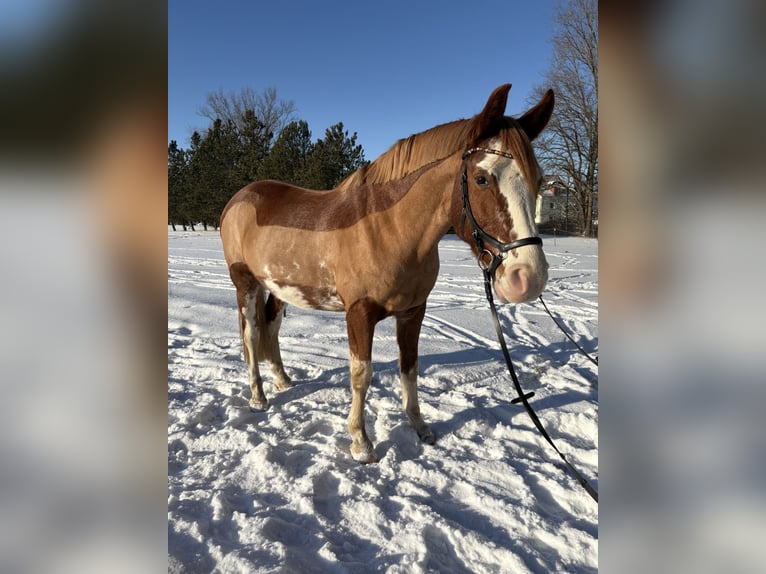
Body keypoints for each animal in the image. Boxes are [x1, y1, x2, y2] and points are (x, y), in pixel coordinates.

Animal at [220, 84, 554, 463]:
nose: (528, 277)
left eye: (539, 180)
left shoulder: (413, 312)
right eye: (482, 178)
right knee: (251, 335)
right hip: (245, 283)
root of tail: (240, 198)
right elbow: (361, 375)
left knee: (272, 329)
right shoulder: (359, 314)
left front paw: (420, 427)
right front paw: (361, 443)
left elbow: (409, 368)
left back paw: (282, 381)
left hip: (279, 287)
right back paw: (258, 397)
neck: (388, 229)